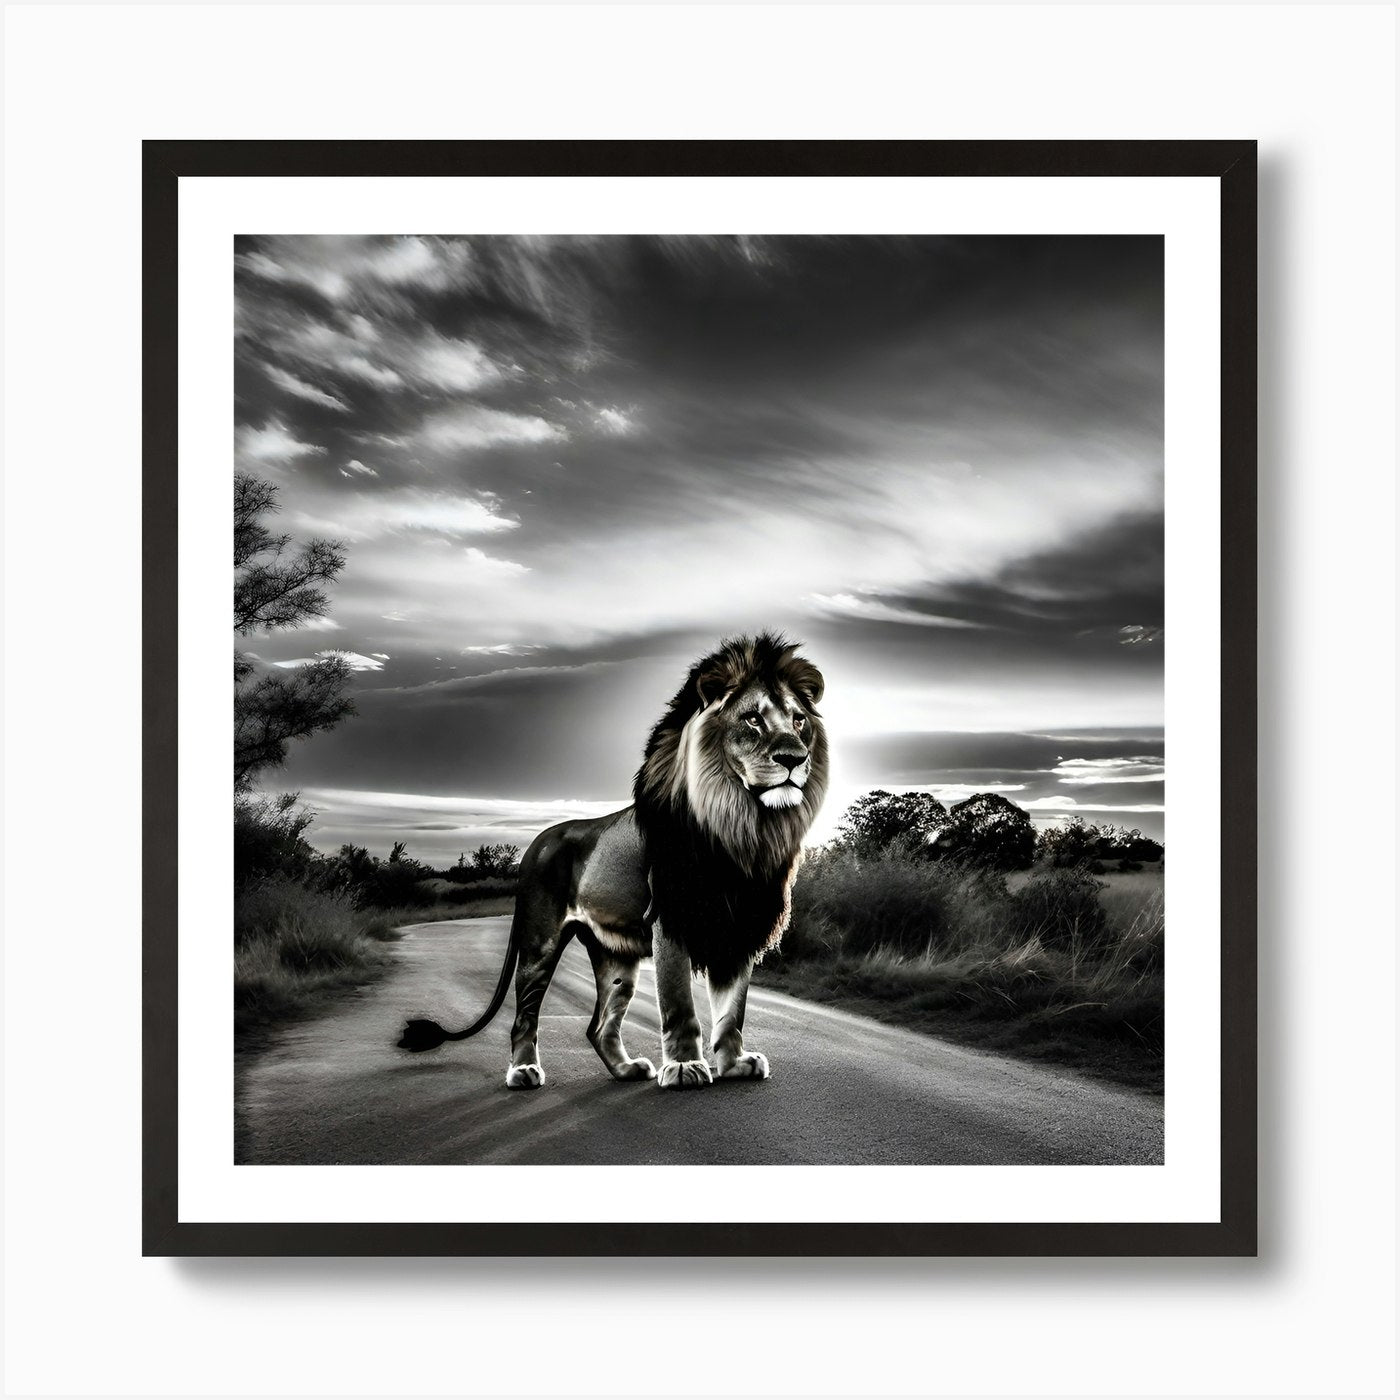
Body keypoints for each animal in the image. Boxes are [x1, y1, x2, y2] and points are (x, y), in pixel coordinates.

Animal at [396, 632, 828, 1090]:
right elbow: (678, 1003)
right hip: (539, 942)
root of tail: (537, 842)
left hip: (614, 956)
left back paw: (626, 1069)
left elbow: (733, 1009)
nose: (794, 758)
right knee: (524, 1016)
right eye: (752, 719)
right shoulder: (669, 918)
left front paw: (735, 1064)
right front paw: (684, 1067)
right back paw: (524, 1071)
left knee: (599, 1025)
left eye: (799, 720)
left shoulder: (740, 924)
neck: (743, 824)